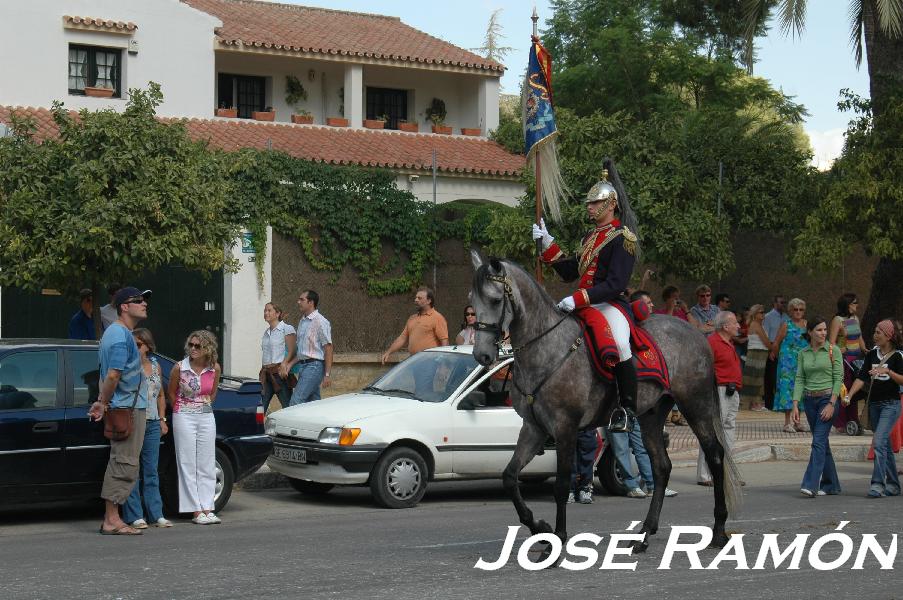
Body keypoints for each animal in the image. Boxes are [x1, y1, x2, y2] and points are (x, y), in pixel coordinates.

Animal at [470, 253, 744, 552]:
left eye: (495, 300)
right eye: (473, 300)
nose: (482, 355)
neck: (547, 346)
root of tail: (697, 334)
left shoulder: (565, 427)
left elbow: (561, 484)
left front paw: (558, 538)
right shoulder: (534, 428)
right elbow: (509, 477)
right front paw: (540, 527)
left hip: (696, 405)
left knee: (715, 455)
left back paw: (718, 530)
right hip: (651, 414)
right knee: (661, 466)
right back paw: (644, 534)